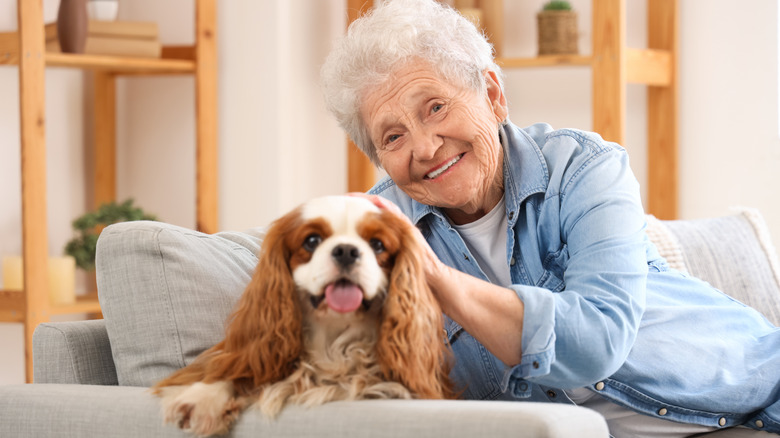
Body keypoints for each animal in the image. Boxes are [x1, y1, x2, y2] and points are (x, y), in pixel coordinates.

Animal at [151, 197, 450, 436]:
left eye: (377, 245)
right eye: (312, 241)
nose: (346, 250)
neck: (332, 337)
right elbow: (234, 367)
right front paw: (203, 398)